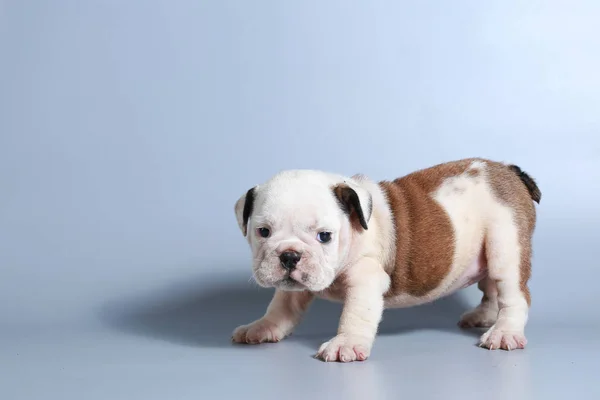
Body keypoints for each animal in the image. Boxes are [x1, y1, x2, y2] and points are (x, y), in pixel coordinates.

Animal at [230, 158, 540, 360]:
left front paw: (346, 344)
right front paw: (262, 327)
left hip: (505, 246)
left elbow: (355, 314)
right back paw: (484, 317)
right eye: (263, 232)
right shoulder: (292, 288)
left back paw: (504, 332)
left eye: (324, 236)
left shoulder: (366, 279)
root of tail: (509, 171)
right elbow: (281, 308)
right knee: (492, 289)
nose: (289, 256)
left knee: (514, 294)